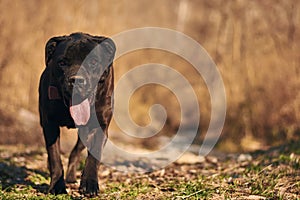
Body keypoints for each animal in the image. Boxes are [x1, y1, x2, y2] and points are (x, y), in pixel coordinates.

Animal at [38, 32, 115, 195]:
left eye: (93, 61)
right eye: (62, 63)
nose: (77, 80)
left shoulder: (100, 126)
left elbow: (94, 154)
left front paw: (90, 184)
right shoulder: (49, 124)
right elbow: (54, 156)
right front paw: (57, 186)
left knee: (76, 151)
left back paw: (72, 176)